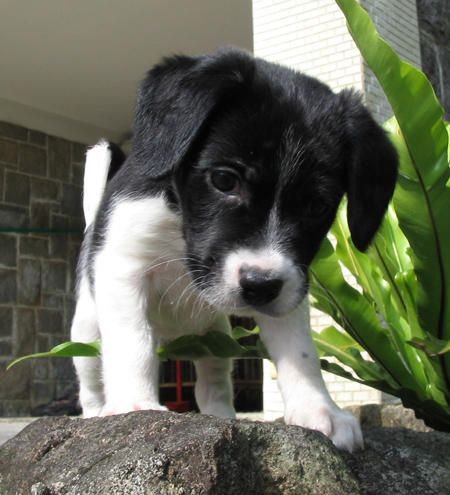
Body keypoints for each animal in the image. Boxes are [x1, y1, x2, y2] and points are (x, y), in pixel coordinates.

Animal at [72, 49, 400, 454]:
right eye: (224, 180)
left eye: (316, 206)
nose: (259, 285)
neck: (179, 227)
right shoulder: (123, 269)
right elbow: (133, 341)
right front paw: (136, 403)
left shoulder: (289, 286)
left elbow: (301, 353)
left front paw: (318, 409)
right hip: (86, 330)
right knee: (91, 380)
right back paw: (96, 412)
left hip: (216, 340)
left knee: (212, 384)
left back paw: (222, 416)